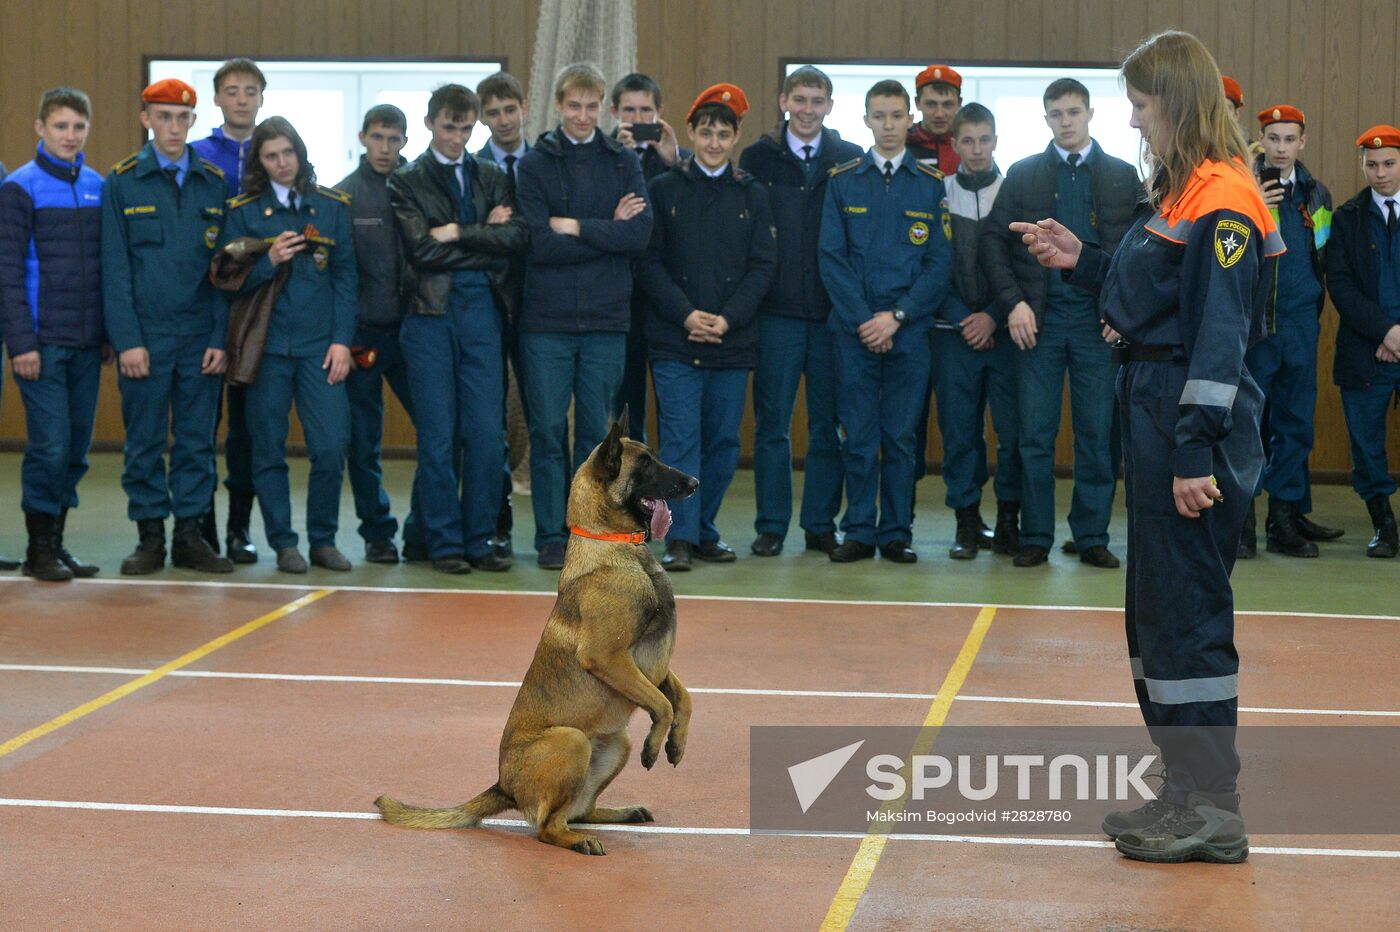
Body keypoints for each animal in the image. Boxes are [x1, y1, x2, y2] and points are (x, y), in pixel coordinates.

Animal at [375, 411, 697, 850]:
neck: (616, 545)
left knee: (579, 810)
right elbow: (663, 704)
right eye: (645, 465)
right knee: (547, 827)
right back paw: (578, 841)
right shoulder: (609, 659)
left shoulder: (652, 666)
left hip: (615, 743)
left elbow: (682, 699)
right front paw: (656, 745)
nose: (694, 483)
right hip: (572, 740)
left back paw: (616, 813)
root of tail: (503, 786)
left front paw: (676, 744)